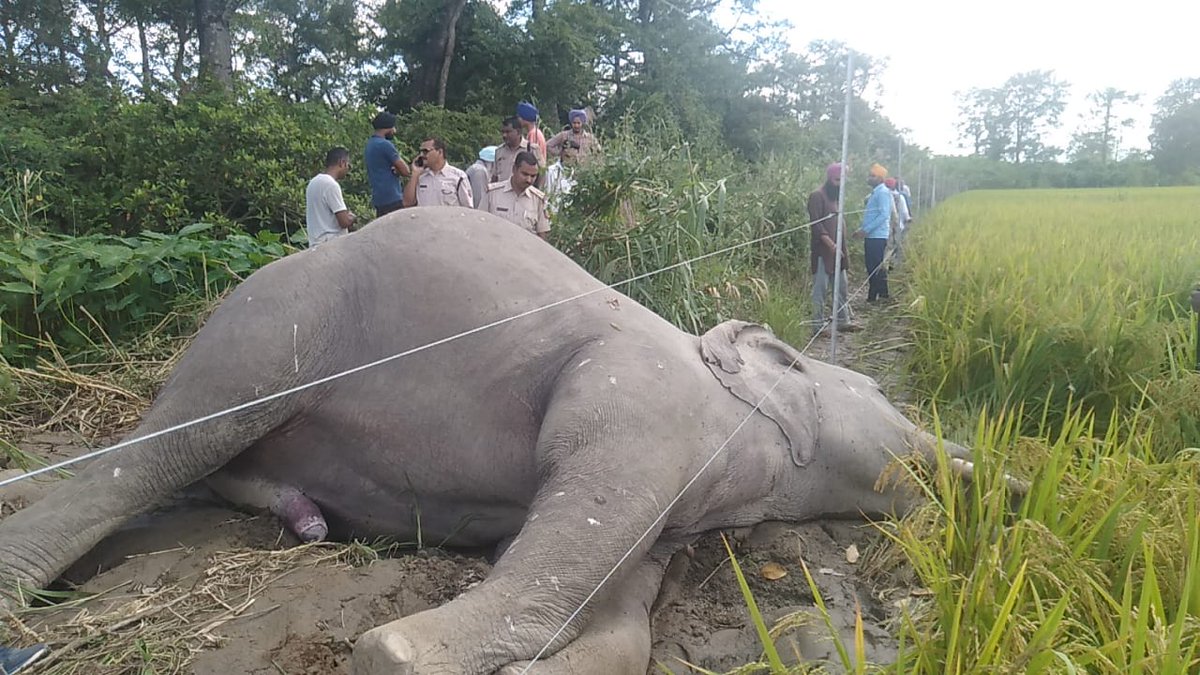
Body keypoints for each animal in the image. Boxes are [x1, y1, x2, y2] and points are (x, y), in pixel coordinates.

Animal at [0, 207, 979, 674]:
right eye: (881, 393)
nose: (993, 476)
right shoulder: (637, 404)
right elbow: (566, 553)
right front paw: (394, 654)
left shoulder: (669, 514)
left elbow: (619, 612)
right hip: (273, 320)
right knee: (163, 449)